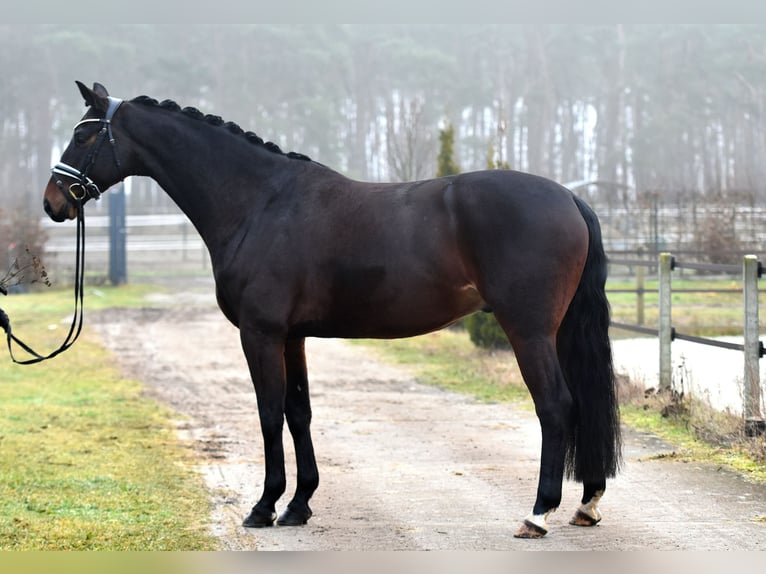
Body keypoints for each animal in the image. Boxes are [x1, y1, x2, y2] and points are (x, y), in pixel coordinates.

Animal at [43, 81, 624, 540]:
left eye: (84, 135)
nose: (54, 201)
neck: (260, 203)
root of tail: (571, 199)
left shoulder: (260, 333)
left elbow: (268, 412)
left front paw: (263, 506)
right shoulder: (293, 336)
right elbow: (298, 412)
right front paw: (298, 505)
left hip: (528, 331)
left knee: (556, 406)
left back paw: (538, 514)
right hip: (557, 331)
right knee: (582, 403)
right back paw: (587, 504)